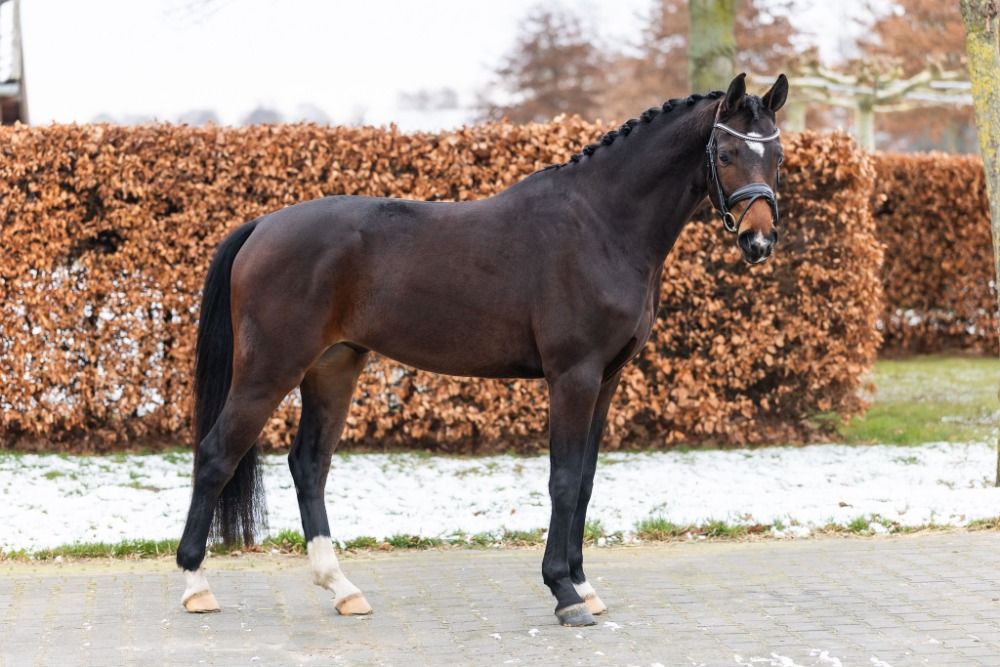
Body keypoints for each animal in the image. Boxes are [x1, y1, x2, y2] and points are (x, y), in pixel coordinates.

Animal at [176, 72, 788, 627]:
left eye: (777, 154)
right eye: (727, 152)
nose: (759, 240)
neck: (600, 224)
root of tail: (261, 226)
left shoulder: (606, 380)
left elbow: (586, 481)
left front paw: (585, 586)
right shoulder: (573, 376)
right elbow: (564, 479)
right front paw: (564, 593)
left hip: (333, 368)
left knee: (309, 465)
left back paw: (342, 589)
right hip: (269, 369)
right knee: (217, 454)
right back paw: (196, 585)